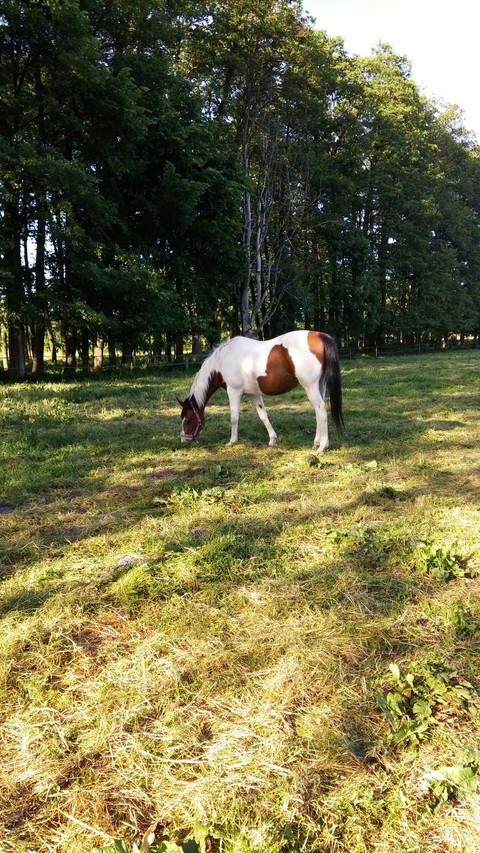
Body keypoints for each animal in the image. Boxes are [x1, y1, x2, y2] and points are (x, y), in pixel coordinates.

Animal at [179, 330, 344, 451]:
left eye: (188, 419)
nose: (184, 440)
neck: (223, 360)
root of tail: (320, 335)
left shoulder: (234, 391)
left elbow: (234, 417)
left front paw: (232, 441)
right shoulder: (254, 394)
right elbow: (263, 415)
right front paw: (272, 440)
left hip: (310, 386)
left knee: (321, 410)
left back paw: (322, 447)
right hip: (320, 385)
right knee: (318, 412)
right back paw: (316, 443)